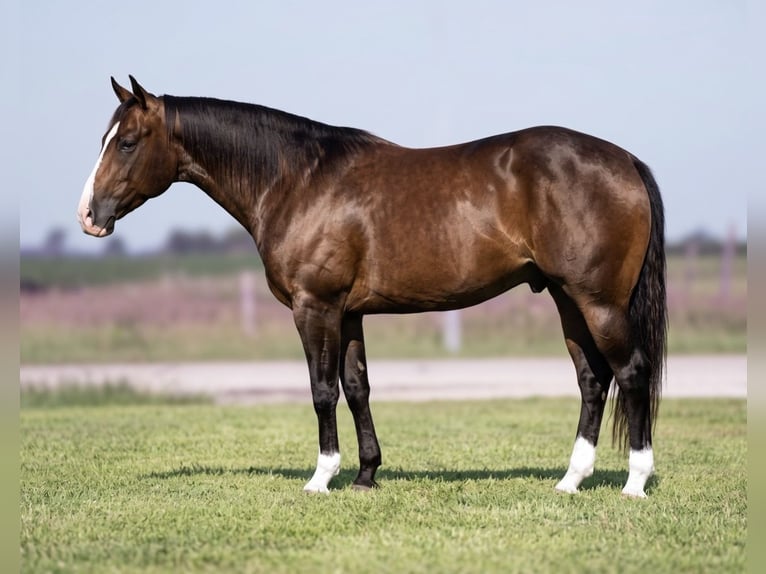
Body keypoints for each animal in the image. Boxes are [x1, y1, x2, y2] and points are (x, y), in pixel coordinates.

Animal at [78, 76, 666, 498]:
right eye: (105, 139)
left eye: (126, 142)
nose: (89, 216)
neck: (298, 180)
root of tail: (625, 160)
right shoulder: (349, 312)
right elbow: (357, 386)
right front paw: (366, 475)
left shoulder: (314, 307)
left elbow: (321, 389)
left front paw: (321, 478)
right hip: (568, 300)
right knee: (593, 381)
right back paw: (570, 481)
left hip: (599, 302)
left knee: (630, 373)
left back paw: (635, 483)